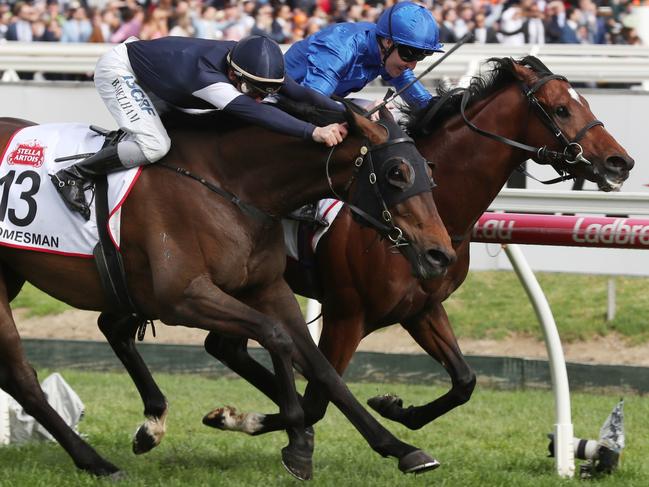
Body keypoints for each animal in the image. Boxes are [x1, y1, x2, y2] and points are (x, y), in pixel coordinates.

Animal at [0, 106, 454, 476]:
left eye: (431, 171)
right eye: (397, 172)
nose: (440, 254)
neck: (231, 185)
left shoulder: (269, 288)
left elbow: (323, 369)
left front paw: (400, 448)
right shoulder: (183, 298)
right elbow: (275, 336)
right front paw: (296, 439)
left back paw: (142, 430)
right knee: (23, 377)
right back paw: (97, 462)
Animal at [199, 58, 632, 454]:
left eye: (585, 101)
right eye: (560, 109)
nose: (620, 162)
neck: (437, 207)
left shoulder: (422, 308)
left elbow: (464, 381)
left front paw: (393, 406)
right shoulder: (346, 316)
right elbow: (319, 400)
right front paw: (251, 419)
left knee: (225, 346)